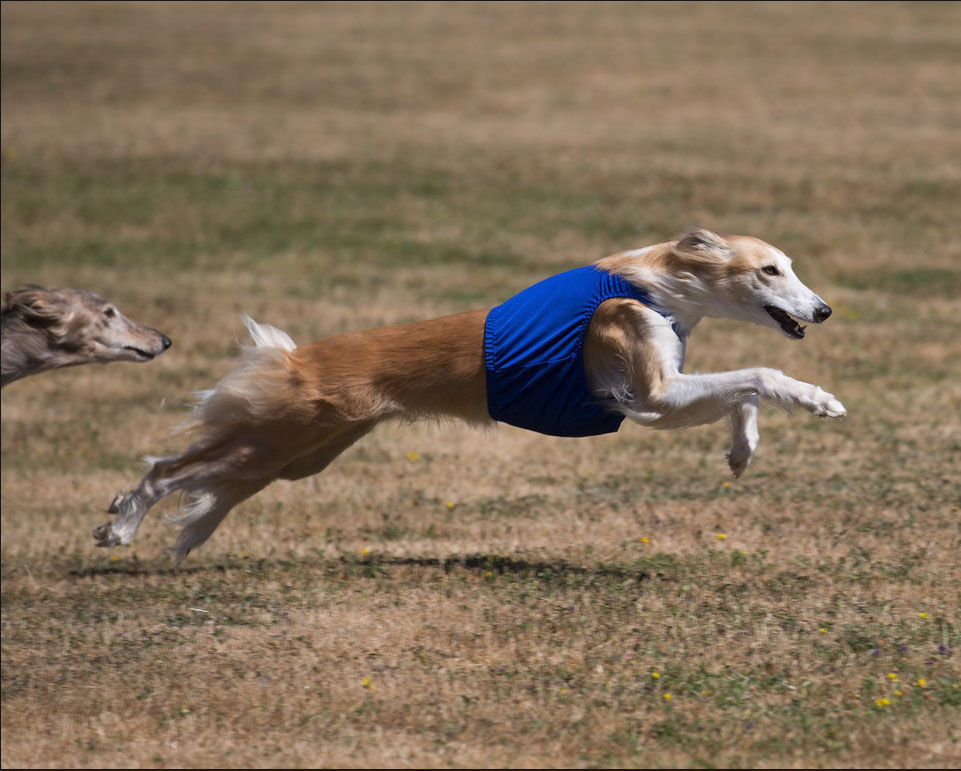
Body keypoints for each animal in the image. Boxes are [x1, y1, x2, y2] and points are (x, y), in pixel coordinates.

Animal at [95, 226, 840, 556]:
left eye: (790, 265)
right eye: (769, 270)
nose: (824, 309)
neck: (654, 285)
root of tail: (295, 357)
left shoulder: (654, 399)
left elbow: (744, 393)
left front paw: (741, 451)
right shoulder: (648, 395)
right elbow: (758, 375)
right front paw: (818, 399)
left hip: (301, 452)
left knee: (202, 479)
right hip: (279, 436)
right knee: (165, 469)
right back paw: (121, 523)